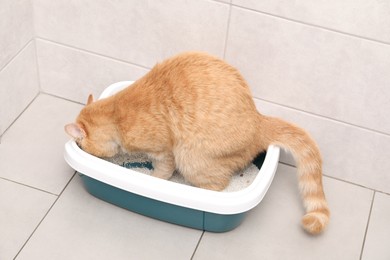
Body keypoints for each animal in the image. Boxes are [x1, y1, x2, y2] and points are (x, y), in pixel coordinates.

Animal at [64, 51, 330, 234]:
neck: (117, 112)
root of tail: (259, 120)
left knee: (217, 184)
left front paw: (155, 179)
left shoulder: (164, 151)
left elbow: (163, 171)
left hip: (191, 158)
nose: (80, 148)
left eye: (81, 145)